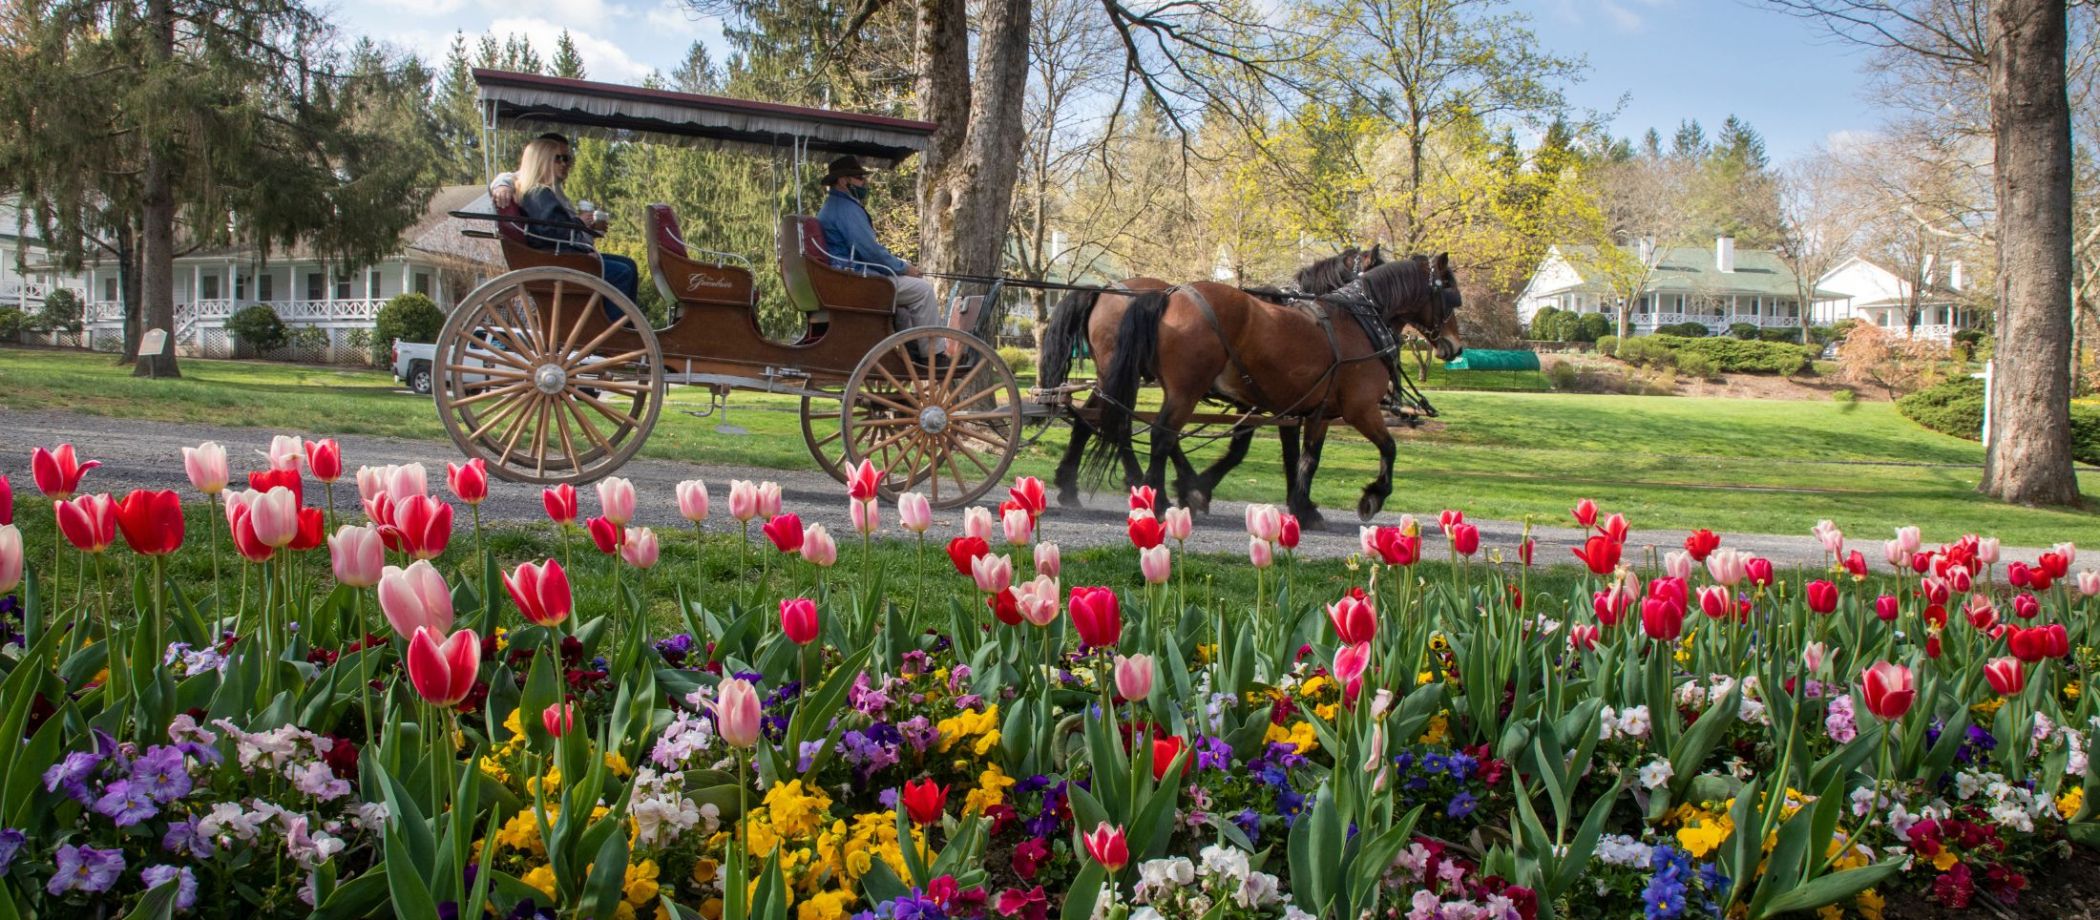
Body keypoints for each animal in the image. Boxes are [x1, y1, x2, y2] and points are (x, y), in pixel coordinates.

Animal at [1037, 247, 1394, 510]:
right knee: (1126, 425)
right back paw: (1145, 485)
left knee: (1093, 419)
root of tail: (1105, 290)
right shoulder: (1277, 401)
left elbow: (1263, 448)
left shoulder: (1264, 400)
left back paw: (1073, 485)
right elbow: (1278, 450)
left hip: (1116, 376)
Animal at [1083, 252, 1461, 525]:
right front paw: (1372, 496)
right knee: (1158, 434)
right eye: (1451, 295)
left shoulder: (1308, 410)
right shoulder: (1360, 409)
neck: (1359, 322)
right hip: (1183, 390)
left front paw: (1301, 505)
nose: (1454, 346)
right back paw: (1156, 499)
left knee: (1125, 424)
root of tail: (1168, 294)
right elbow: (1388, 448)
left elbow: (1302, 458)